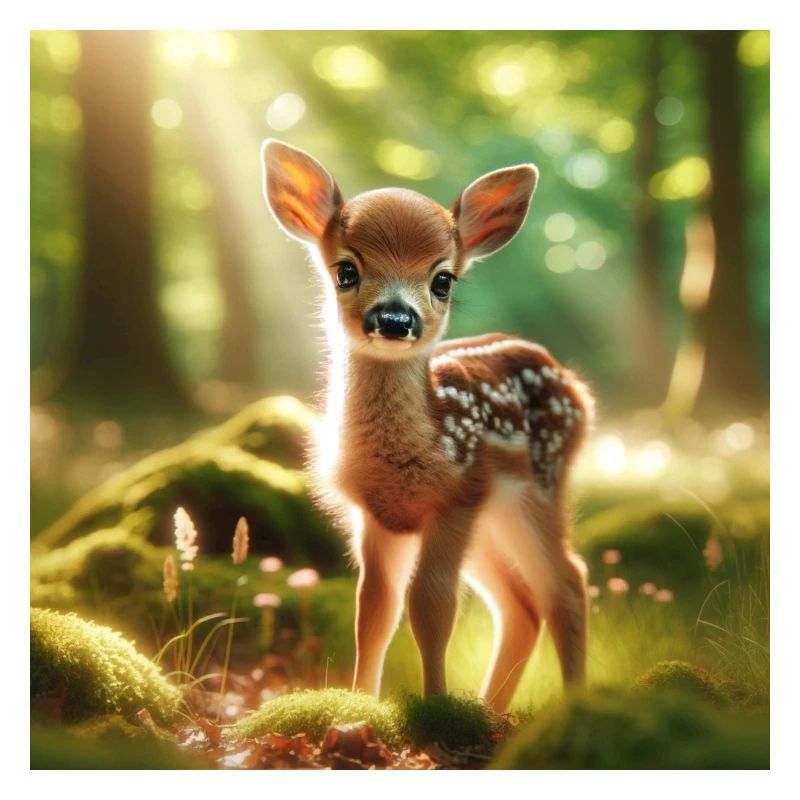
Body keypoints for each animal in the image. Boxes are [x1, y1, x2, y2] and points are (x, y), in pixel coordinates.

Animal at [261, 139, 593, 712]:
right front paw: (362, 704)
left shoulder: (455, 498)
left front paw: (435, 711)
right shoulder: (378, 515)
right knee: (522, 604)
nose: (396, 319)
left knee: (568, 583)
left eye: (443, 279)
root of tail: (576, 388)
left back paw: (571, 708)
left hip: (539, 489)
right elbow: (375, 609)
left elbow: (431, 606)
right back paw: (489, 712)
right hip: (493, 519)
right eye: (346, 270)